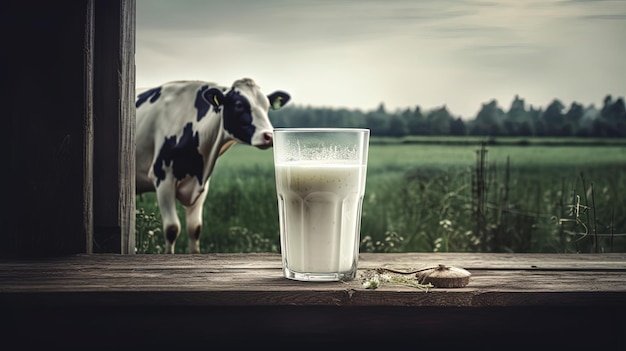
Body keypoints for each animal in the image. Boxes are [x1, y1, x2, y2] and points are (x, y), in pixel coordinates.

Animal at [135, 78, 288, 254]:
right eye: (239, 105)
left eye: (267, 106)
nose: (269, 136)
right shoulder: (163, 178)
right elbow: (172, 229)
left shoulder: (202, 183)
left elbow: (195, 229)